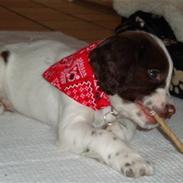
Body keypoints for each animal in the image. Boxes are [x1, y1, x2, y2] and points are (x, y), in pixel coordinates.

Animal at [0, 31, 176, 177]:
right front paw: (132, 160)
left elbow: (120, 129)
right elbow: (102, 134)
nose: (171, 111)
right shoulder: (70, 127)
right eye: (153, 73)